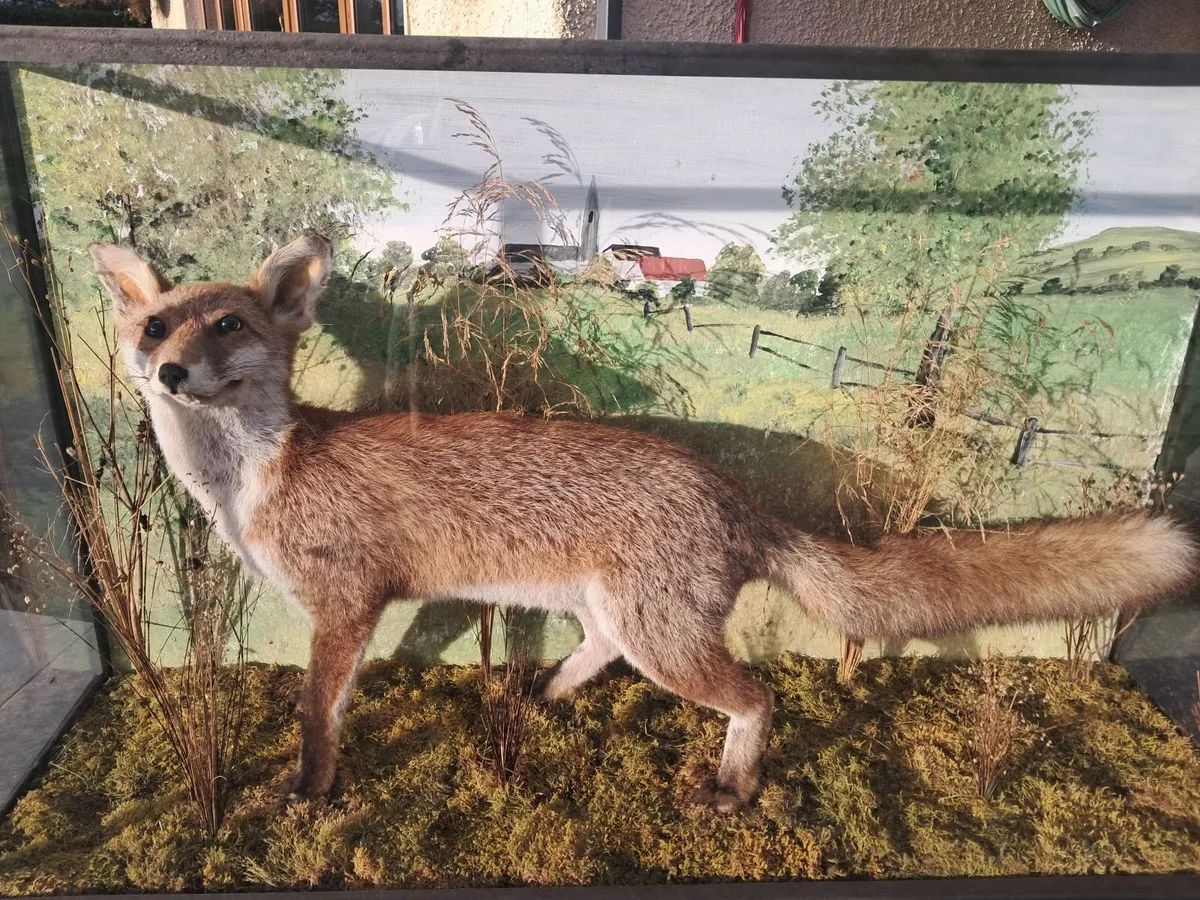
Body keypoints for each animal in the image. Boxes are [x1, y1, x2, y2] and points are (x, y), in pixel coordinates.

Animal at [88, 233, 1198, 811]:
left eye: (228, 324)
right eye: (156, 326)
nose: (169, 371)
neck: (255, 478)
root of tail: (725, 487)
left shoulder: (348, 603)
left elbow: (317, 713)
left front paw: (307, 793)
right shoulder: (372, 606)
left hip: (668, 638)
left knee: (756, 697)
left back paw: (730, 788)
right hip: (622, 617)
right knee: (599, 656)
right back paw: (540, 701)